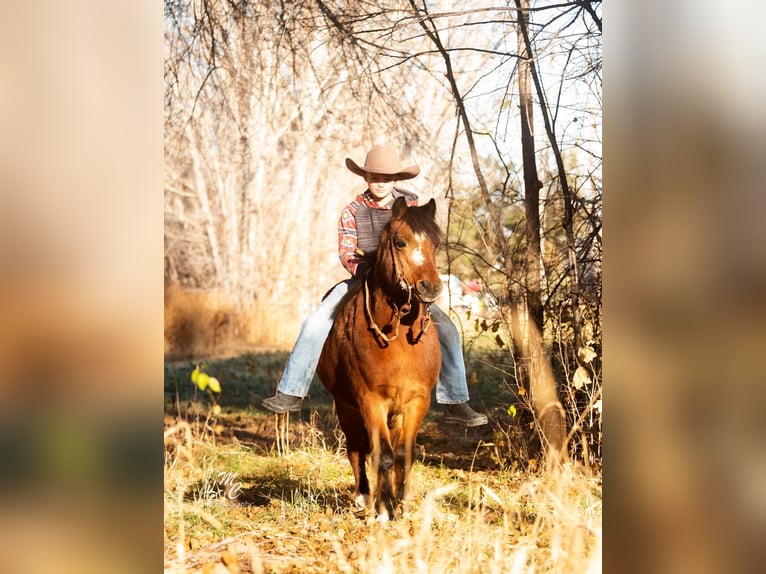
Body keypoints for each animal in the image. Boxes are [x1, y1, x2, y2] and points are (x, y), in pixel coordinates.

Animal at [316, 198, 444, 520]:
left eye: (436, 243)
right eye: (400, 242)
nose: (431, 287)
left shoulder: (416, 402)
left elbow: (403, 454)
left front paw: (401, 502)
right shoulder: (370, 400)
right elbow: (382, 455)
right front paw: (385, 507)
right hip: (346, 406)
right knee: (357, 449)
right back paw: (364, 496)